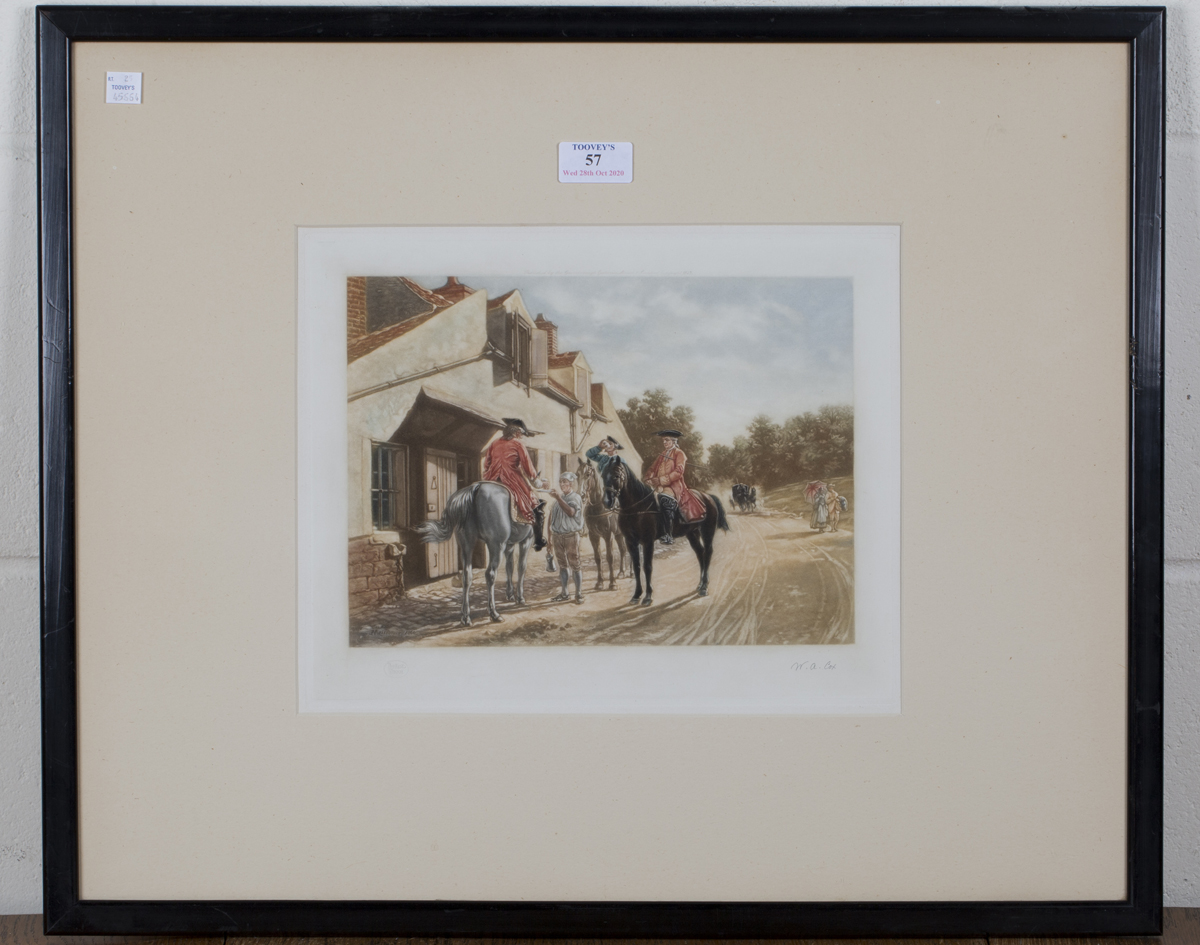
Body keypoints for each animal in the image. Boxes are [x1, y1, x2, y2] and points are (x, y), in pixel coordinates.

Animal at [420, 479, 537, 628]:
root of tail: (476, 487)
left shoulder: (509, 545)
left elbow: (509, 567)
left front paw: (510, 594)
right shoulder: (526, 540)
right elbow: (521, 567)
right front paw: (520, 598)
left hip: (466, 544)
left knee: (466, 576)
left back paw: (465, 617)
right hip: (496, 545)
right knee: (490, 574)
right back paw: (493, 614)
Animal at [576, 460, 633, 590]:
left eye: (588, 474)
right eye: (577, 475)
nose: (581, 495)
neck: (598, 506)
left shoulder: (608, 535)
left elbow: (610, 557)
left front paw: (612, 583)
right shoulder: (594, 536)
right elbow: (598, 558)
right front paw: (600, 582)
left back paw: (632, 572)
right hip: (619, 534)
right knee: (623, 550)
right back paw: (621, 572)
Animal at [600, 458, 729, 604]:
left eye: (616, 476)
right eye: (602, 475)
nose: (606, 502)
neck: (637, 507)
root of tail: (708, 497)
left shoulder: (648, 541)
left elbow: (647, 567)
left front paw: (648, 596)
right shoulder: (631, 542)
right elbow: (637, 567)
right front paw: (636, 595)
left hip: (707, 532)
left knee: (707, 553)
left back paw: (705, 587)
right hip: (692, 534)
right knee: (700, 553)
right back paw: (700, 585)